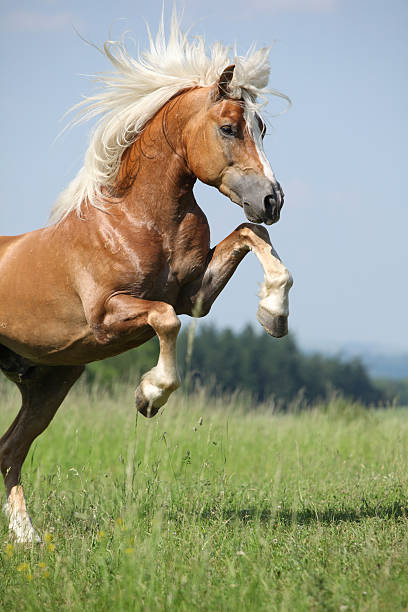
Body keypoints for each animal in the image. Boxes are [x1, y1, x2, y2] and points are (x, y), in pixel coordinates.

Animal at [0, 14, 294, 544]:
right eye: (229, 127)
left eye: (261, 127)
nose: (273, 200)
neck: (139, 219)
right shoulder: (107, 315)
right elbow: (164, 321)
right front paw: (150, 394)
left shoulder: (194, 296)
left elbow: (250, 234)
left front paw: (274, 314)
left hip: (50, 381)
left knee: (9, 449)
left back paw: (27, 536)